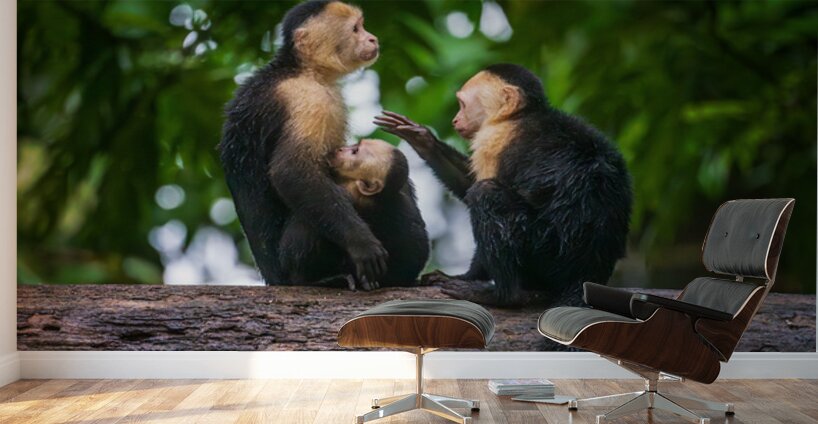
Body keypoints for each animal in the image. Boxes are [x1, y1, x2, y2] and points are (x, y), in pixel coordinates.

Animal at [219, 1, 387, 288]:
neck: (300, 69)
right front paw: (362, 243)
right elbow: (291, 171)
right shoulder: (310, 100)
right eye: (355, 29)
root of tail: (274, 278)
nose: (372, 38)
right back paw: (319, 279)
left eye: (362, 26)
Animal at [375, 63, 633, 307]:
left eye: (462, 105)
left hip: (548, 254)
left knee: (486, 194)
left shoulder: (495, 139)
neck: (519, 115)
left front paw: (467, 278)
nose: (455, 120)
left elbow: (477, 188)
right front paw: (422, 139)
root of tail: (587, 271)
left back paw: (503, 295)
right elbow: (468, 183)